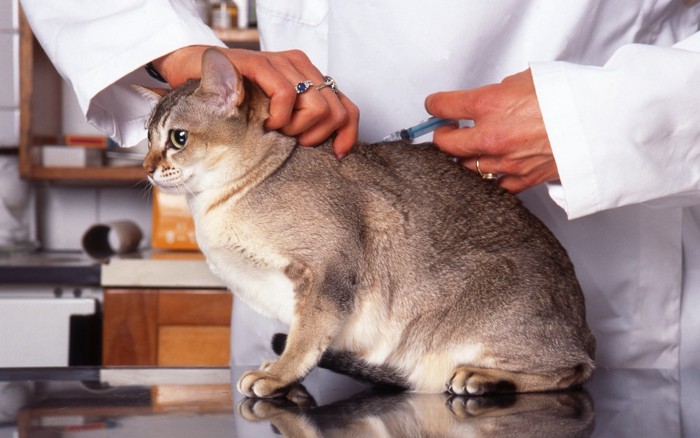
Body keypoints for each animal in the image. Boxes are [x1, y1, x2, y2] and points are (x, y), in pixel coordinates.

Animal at [138, 47, 596, 396]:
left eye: (178, 138)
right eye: (147, 139)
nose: (146, 168)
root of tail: (584, 329)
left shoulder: (328, 266)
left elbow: (306, 336)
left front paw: (279, 375)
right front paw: (276, 365)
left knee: (572, 370)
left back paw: (480, 376)